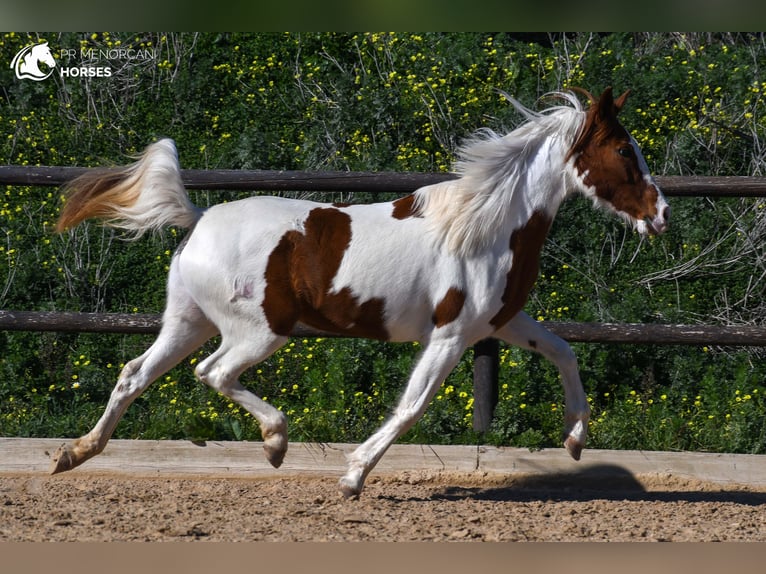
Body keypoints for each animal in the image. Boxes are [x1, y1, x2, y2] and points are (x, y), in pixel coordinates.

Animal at [51, 88, 668, 498]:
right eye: (624, 151)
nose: (660, 215)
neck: (484, 228)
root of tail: (198, 219)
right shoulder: (452, 335)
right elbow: (412, 405)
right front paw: (352, 476)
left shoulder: (499, 323)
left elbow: (564, 351)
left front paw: (575, 439)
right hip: (258, 331)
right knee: (214, 373)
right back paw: (275, 443)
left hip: (188, 321)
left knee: (134, 373)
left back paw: (74, 453)